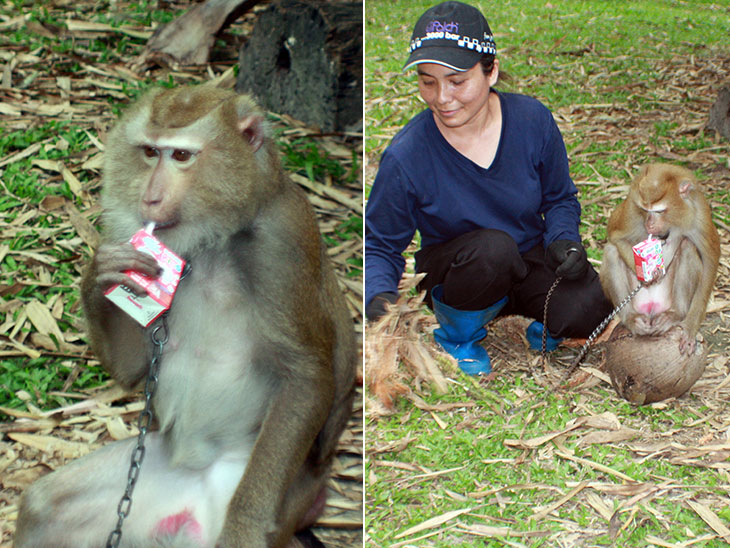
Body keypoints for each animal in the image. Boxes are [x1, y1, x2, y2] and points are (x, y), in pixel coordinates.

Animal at [15, 84, 356, 548]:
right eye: (149, 152)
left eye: (181, 156)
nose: (150, 198)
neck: (214, 238)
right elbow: (134, 369)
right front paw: (104, 272)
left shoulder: (283, 243)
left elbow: (307, 376)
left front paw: (247, 522)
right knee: (44, 507)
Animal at [600, 164, 720, 356]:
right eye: (645, 210)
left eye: (659, 211)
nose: (649, 224)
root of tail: (652, 309)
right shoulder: (632, 206)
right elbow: (616, 236)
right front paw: (649, 277)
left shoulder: (698, 214)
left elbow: (710, 261)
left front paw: (689, 329)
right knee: (611, 251)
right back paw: (631, 317)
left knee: (687, 246)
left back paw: (676, 313)